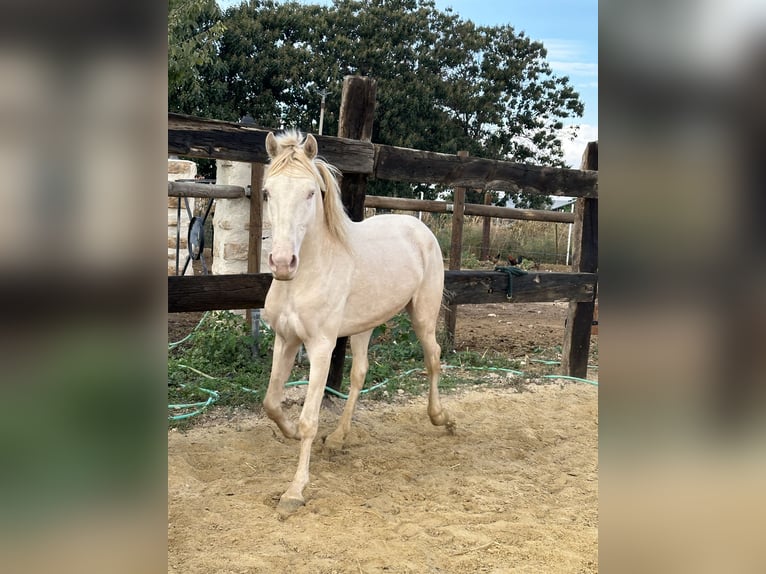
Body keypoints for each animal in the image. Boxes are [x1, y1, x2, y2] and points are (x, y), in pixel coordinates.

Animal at [262, 130, 456, 516]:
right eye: (267, 192)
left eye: (310, 192)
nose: (282, 263)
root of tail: (419, 226)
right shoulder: (286, 340)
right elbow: (272, 402)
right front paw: (291, 433)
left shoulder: (321, 347)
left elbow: (309, 419)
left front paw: (294, 491)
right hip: (365, 326)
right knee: (359, 374)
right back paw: (339, 437)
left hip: (423, 317)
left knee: (433, 359)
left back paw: (442, 419)